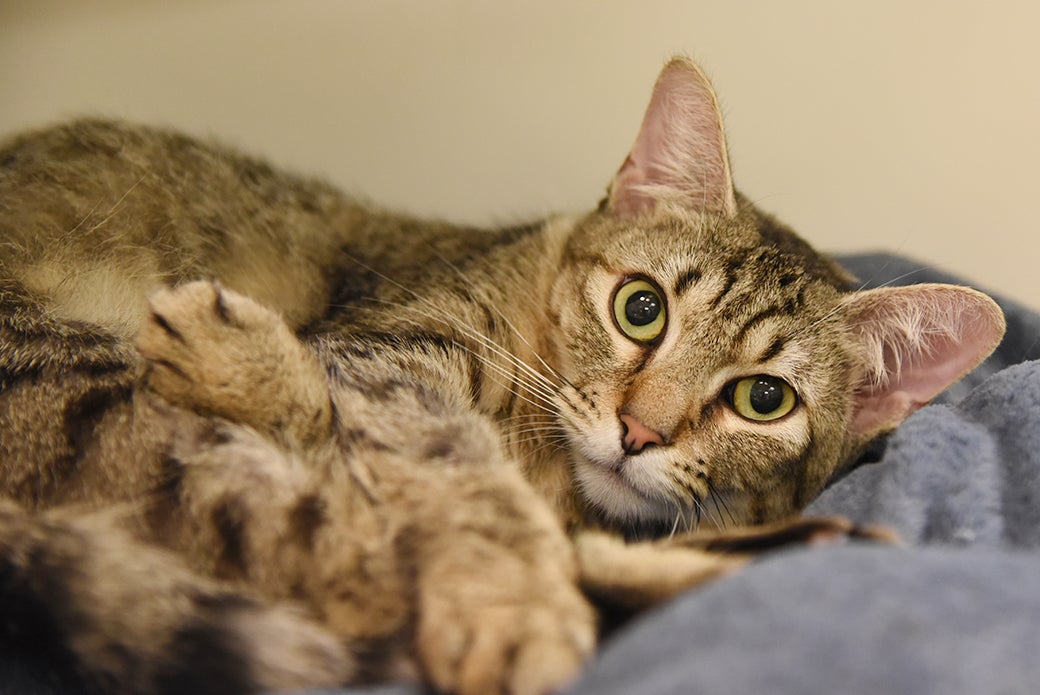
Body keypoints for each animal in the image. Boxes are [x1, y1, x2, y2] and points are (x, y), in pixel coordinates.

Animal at [0, 56, 1005, 695]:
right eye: (641, 308)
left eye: (765, 399)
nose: (640, 431)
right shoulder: (393, 355)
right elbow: (454, 471)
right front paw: (513, 604)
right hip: (89, 394)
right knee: (353, 563)